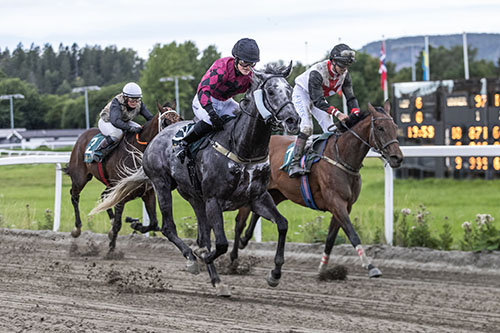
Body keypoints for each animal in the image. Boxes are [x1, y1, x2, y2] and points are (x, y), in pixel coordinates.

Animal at [62, 102, 180, 250]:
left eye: (180, 119)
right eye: (166, 122)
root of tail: (82, 136)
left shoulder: (147, 192)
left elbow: (153, 223)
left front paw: (135, 225)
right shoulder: (122, 196)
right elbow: (118, 224)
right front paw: (112, 248)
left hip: (109, 184)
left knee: (103, 196)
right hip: (80, 178)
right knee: (75, 196)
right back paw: (77, 228)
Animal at [90, 62, 300, 296]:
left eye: (290, 89)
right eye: (270, 91)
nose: (293, 120)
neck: (242, 148)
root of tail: (155, 139)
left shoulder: (257, 197)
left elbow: (282, 225)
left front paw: (274, 274)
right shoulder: (213, 200)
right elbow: (220, 244)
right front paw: (202, 256)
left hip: (194, 197)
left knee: (201, 236)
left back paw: (216, 279)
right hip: (162, 185)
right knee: (168, 228)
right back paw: (192, 259)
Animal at [232, 101, 404, 278]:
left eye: (394, 126)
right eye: (380, 128)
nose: (397, 158)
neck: (341, 156)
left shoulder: (345, 205)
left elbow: (330, 238)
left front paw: (323, 268)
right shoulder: (336, 202)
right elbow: (352, 234)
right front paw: (370, 266)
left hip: (276, 192)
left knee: (257, 214)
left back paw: (245, 240)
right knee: (240, 222)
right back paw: (233, 261)